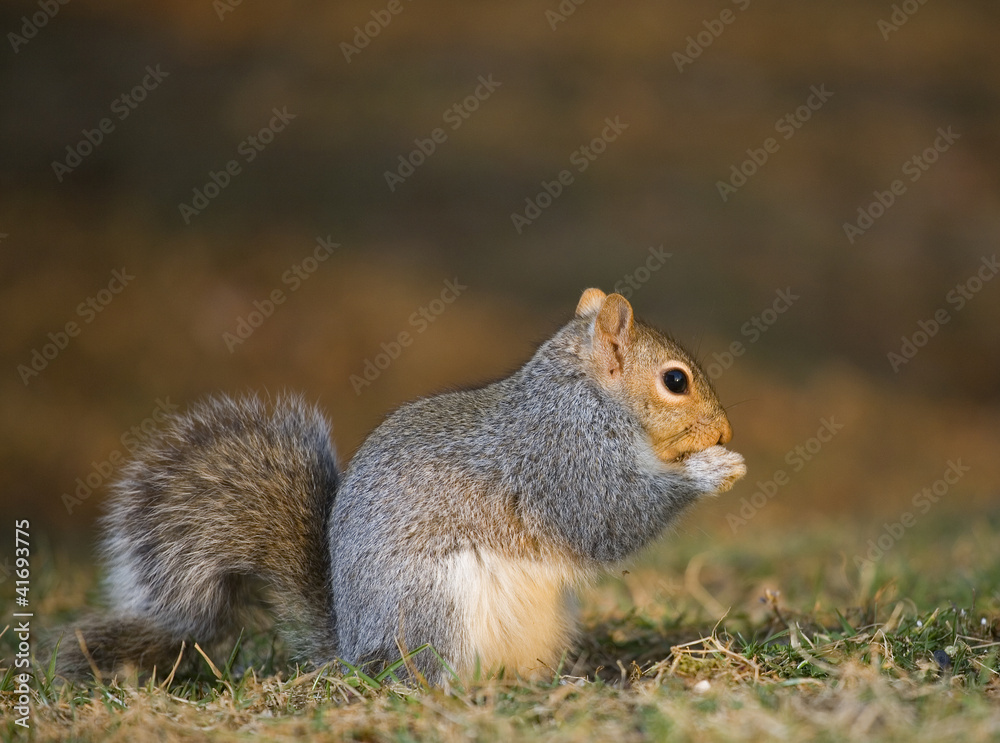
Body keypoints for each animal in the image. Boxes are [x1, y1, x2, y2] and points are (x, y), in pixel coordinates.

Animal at [57, 288, 746, 684]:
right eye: (675, 380)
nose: (726, 428)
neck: (584, 399)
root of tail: (354, 651)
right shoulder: (560, 460)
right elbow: (609, 517)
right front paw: (711, 469)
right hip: (435, 607)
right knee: (424, 676)